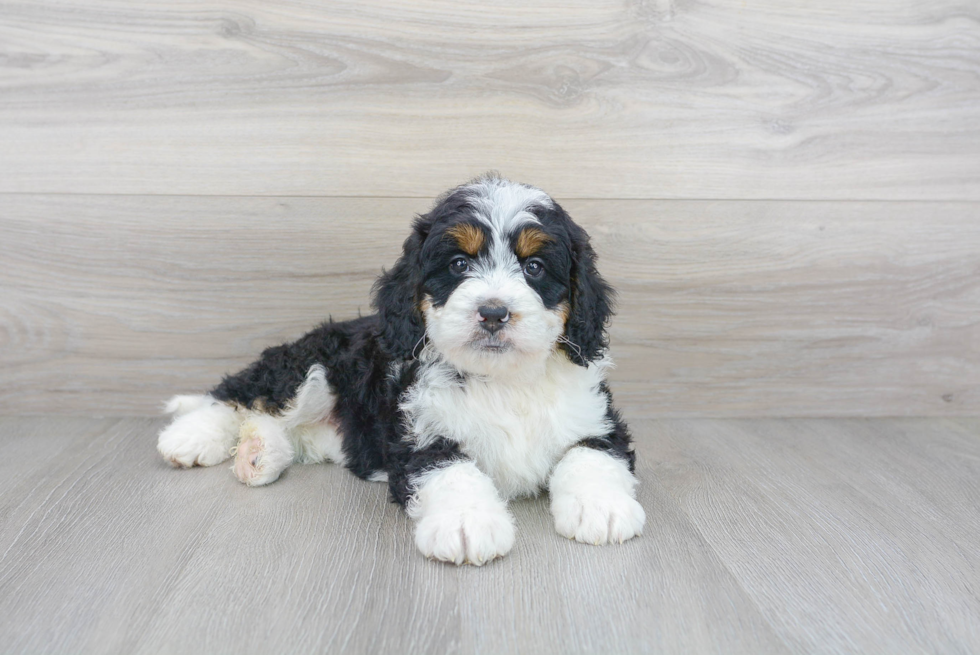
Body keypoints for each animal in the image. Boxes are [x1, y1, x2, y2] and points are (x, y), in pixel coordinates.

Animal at [158, 177, 648, 568]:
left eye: (534, 267)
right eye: (458, 264)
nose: (493, 312)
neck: (502, 380)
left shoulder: (597, 419)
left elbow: (591, 454)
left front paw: (601, 507)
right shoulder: (418, 434)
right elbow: (450, 468)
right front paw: (466, 522)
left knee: (282, 429)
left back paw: (257, 454)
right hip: (313, 369)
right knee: (243, 395)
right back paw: (192, 436)